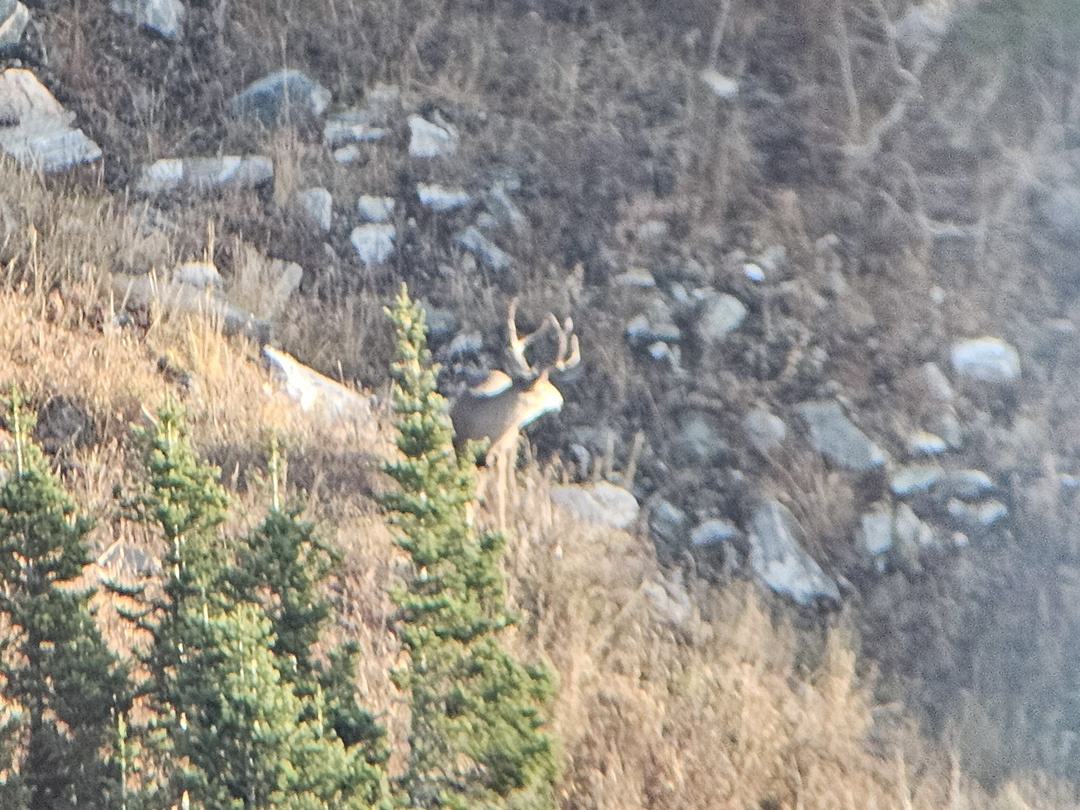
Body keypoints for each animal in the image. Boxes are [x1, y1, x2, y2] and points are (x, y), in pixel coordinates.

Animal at [450, 297, 580, 527]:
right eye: (544, 387)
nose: (560, 399)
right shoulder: (461, 446)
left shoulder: (497, 455)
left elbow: (494, 491)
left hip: (508, 449)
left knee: (504, 483)